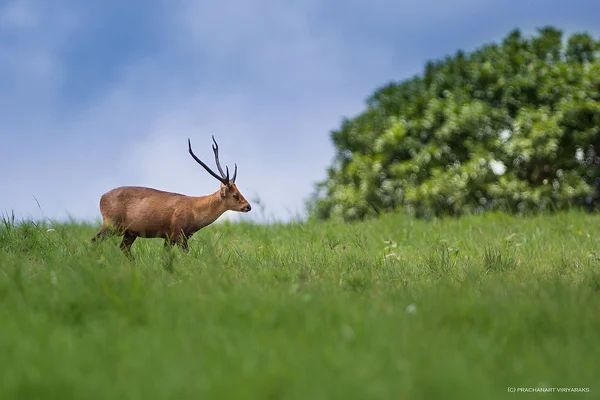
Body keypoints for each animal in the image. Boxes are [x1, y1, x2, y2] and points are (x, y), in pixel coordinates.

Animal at [91, 136, 251, 258]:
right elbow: (185, 256)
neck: (195, 211)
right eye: (235, 195)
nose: (248, 206)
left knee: (123, 248)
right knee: (94, 240)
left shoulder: (174, 237)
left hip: (130, 232)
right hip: (111, 223)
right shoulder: (178, 233)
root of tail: (101, 198)